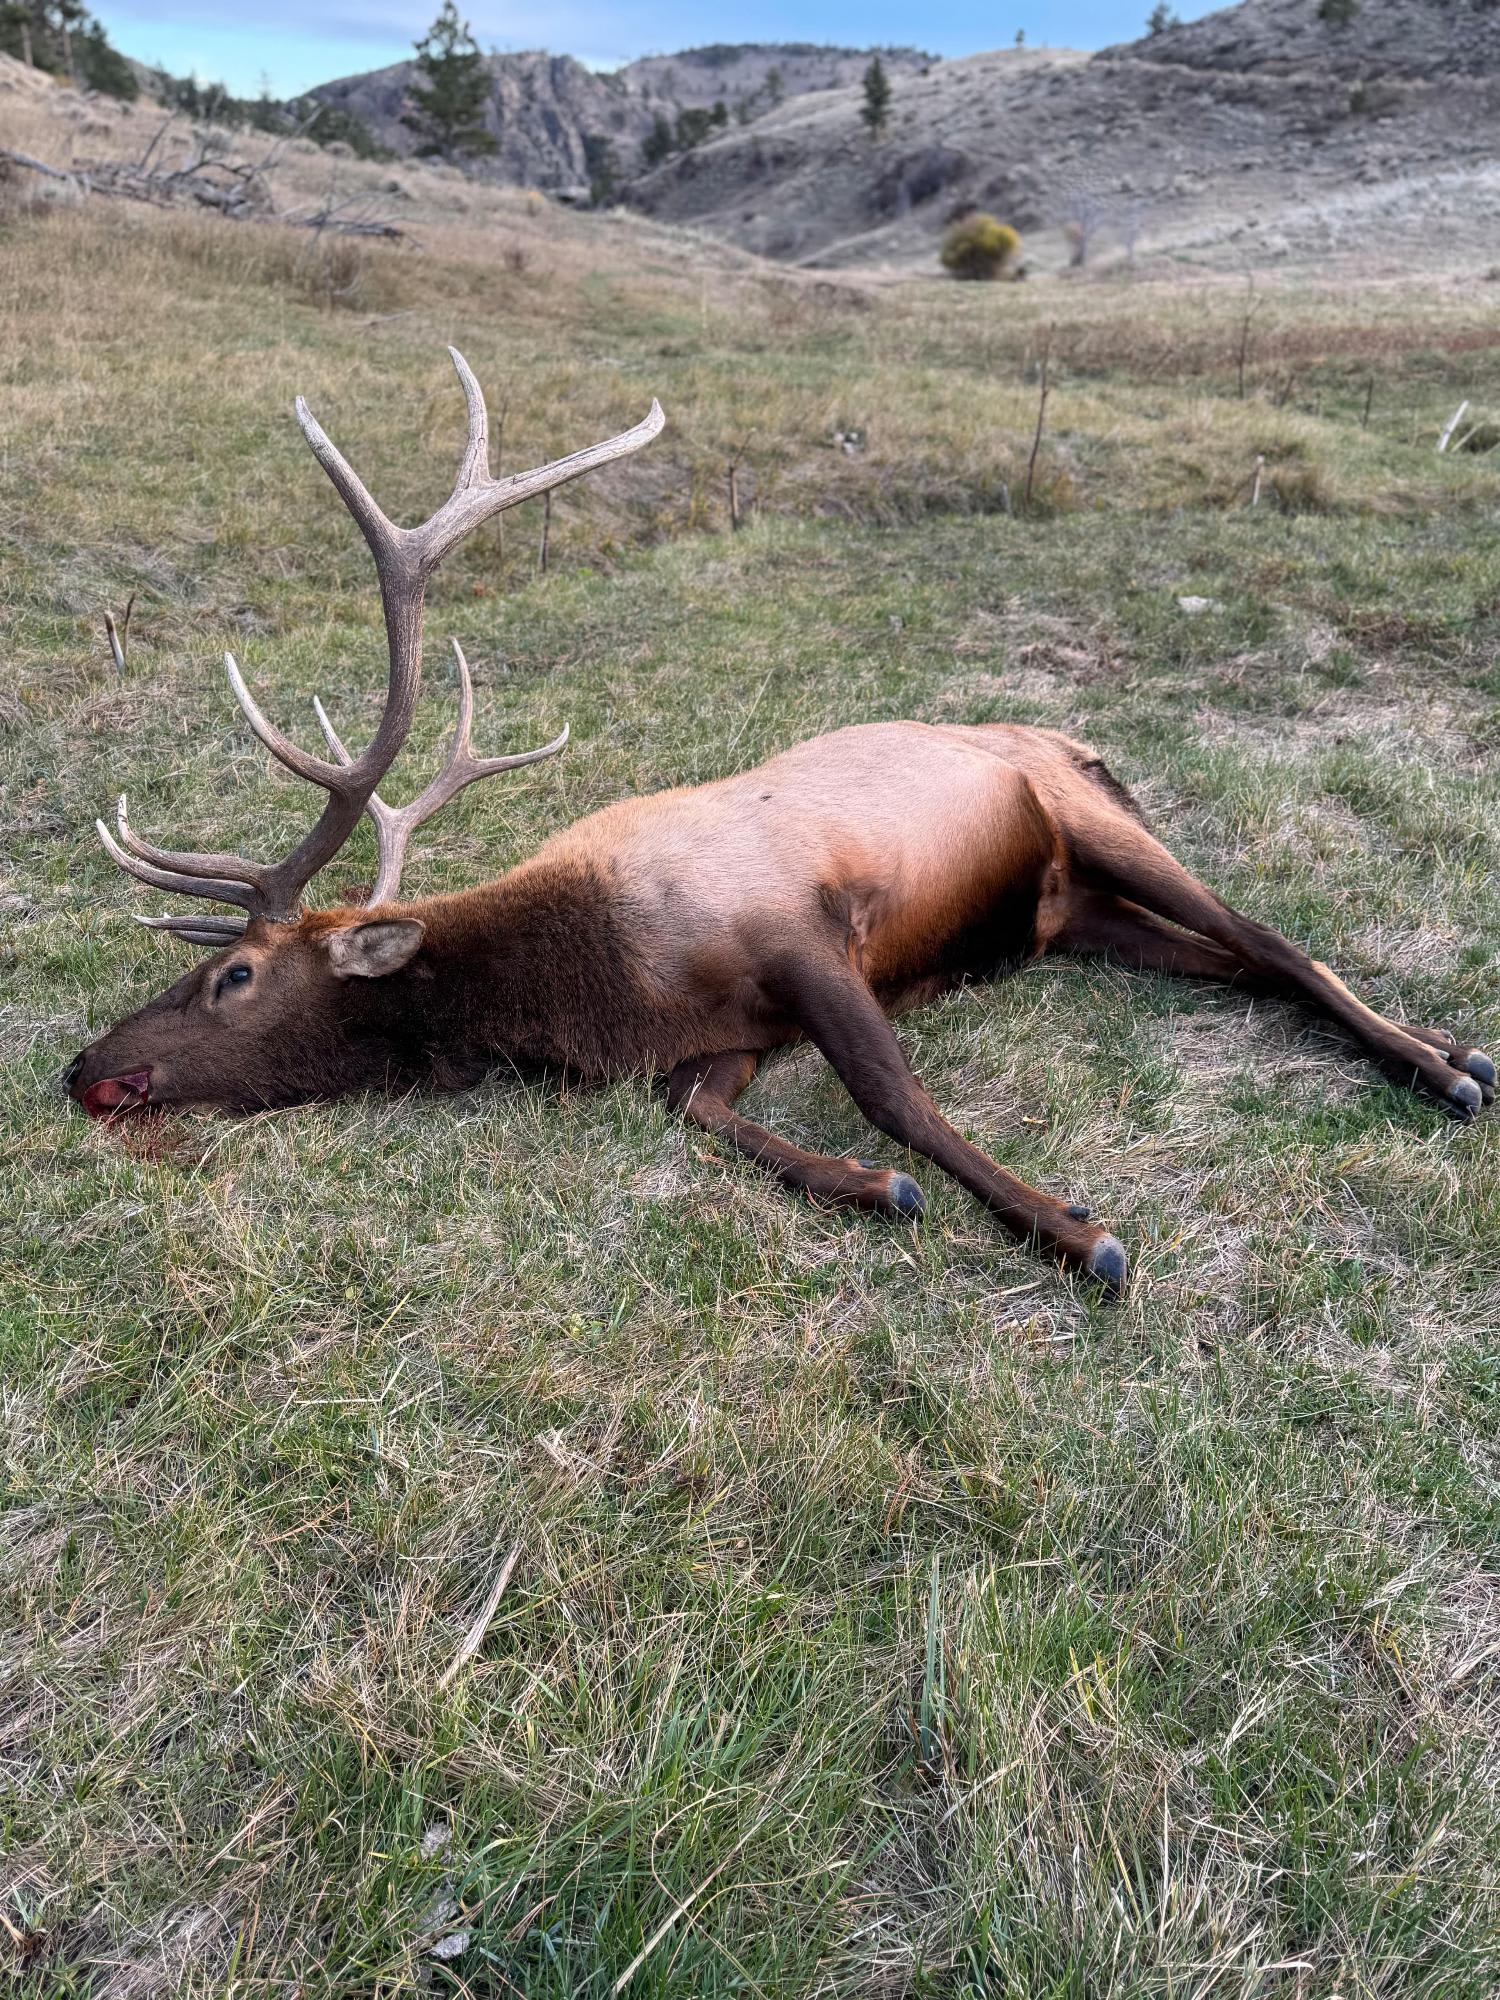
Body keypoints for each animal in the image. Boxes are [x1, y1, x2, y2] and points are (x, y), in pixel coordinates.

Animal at [64, 351, 1494, 1298]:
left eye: (233, 974)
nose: (82, 1067)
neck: (597, 986)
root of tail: (1067, 739)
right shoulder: (723, 1042)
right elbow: (701, 1117)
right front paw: (868, 1188)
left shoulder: (804, 939)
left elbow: (897, 1097)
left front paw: (1073, 1226)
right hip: (1074, 914)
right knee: (1242, 961)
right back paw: (1456, 1042)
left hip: (1091, 813)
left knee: (1275, 936)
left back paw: (1437, 1072)